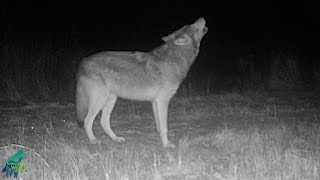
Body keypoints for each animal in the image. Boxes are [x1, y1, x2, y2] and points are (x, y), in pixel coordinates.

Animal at [76, 16, 209, 147]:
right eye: (193, 26)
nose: (202, 17)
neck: (174, 59)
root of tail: (83, 62)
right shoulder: (162, 101)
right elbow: (164, 128)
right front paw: (166, 145)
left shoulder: (155, 102)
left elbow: (159, 126)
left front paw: (164, 142)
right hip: (100, 100)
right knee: (87, 120)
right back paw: (94, 140)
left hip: (111, 99)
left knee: (104, 121)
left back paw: (116, 139)